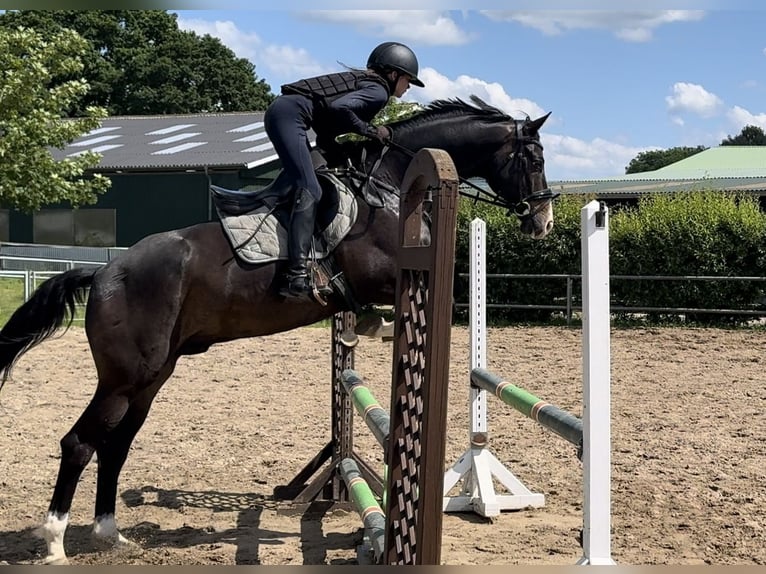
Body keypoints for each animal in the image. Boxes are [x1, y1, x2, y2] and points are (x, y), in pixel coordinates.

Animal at [0, 95, 556, 568]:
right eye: (532, 159)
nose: (544, 223)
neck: (390, 185)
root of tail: (103, 273)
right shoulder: (381, 271)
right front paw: (374, 323)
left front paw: (366, 327)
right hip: (124, 378)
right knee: (79, 443)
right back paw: (55, 544)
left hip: (152, 377)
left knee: (114, 445)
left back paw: (111, 535)